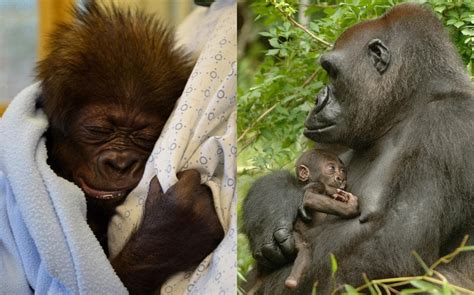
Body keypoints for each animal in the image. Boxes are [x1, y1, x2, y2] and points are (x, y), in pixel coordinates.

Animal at [286, 150, 360, 290]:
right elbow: (310, 197)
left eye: (342, 171)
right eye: (331, 168)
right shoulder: (318, 185)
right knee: (303, 248)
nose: (340, 178)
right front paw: (350, 207)